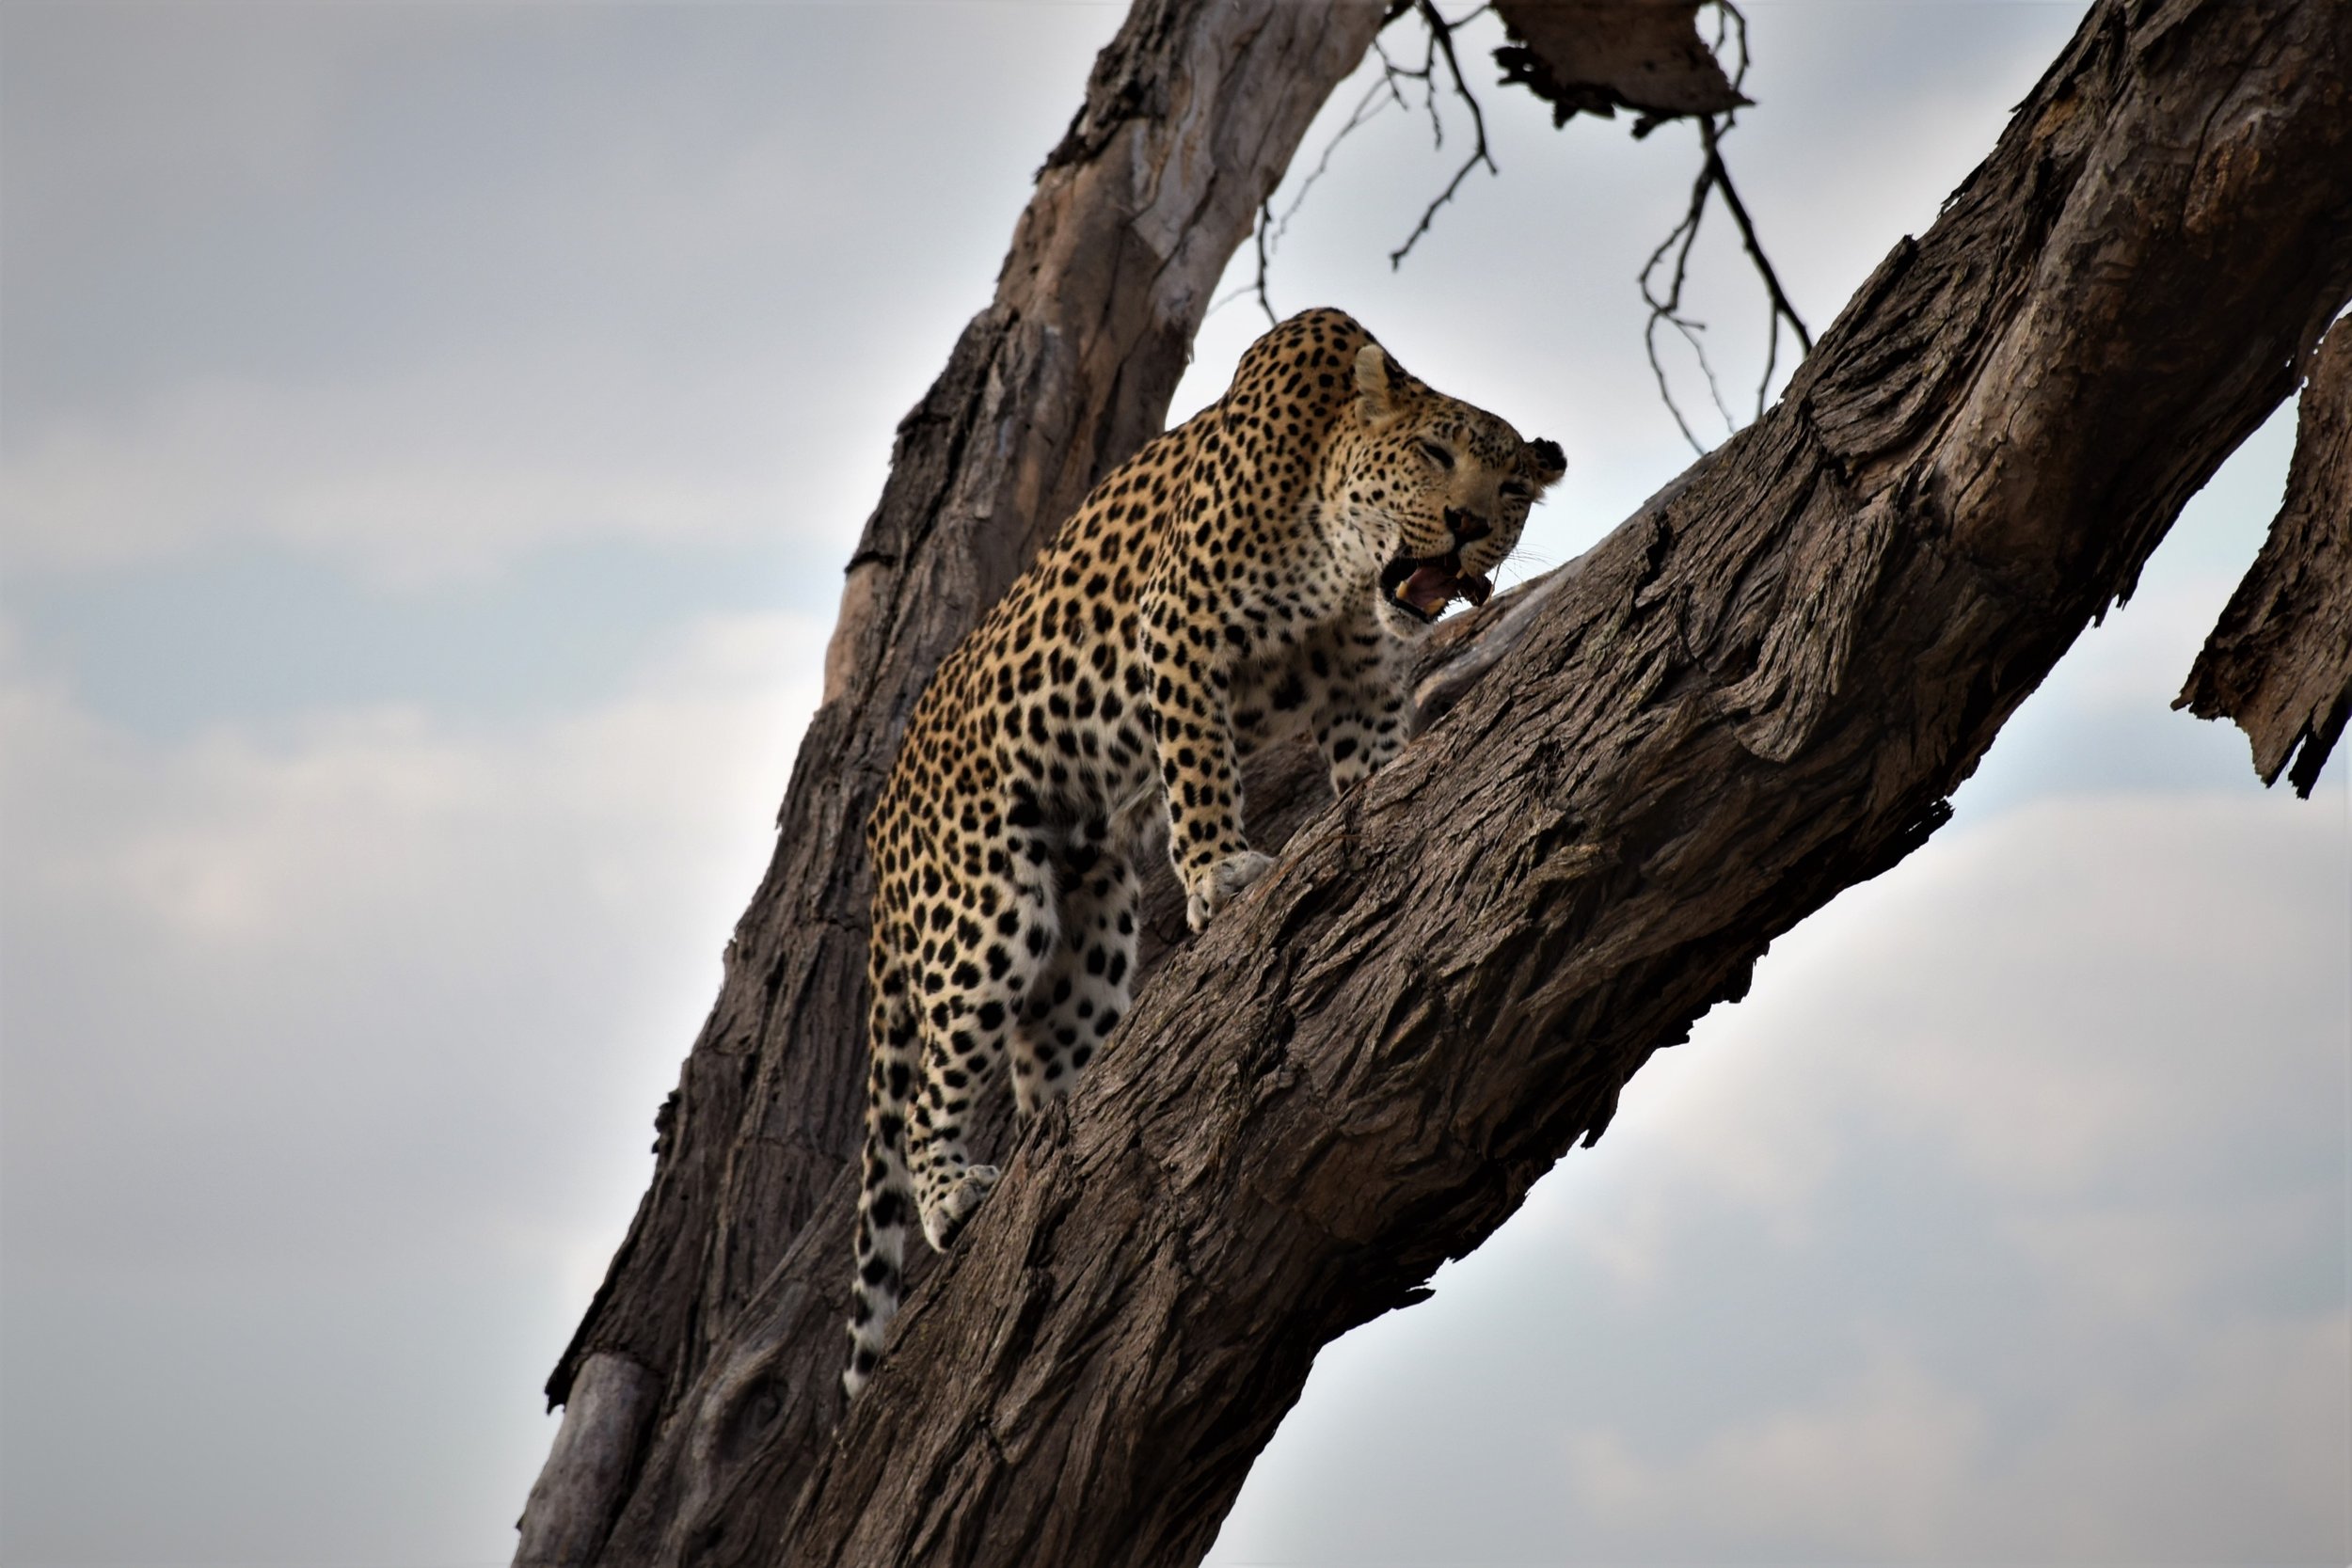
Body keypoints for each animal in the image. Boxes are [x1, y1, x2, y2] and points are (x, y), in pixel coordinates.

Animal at [843, 307, 1564, 1397]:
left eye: (1512, 489)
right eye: (1435, 455)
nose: (1468, 525)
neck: (1339, 558)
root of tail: (883, 830)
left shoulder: (1366, 682)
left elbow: (1371, 760)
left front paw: (1384, 802)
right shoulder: (1177, 626)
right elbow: (1197, 759)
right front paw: (1222, 867)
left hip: (1091, 923)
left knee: (1043, 1054)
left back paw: (1073, 1123)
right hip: (986, 906)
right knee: (934, 1078)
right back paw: (953, 1191)